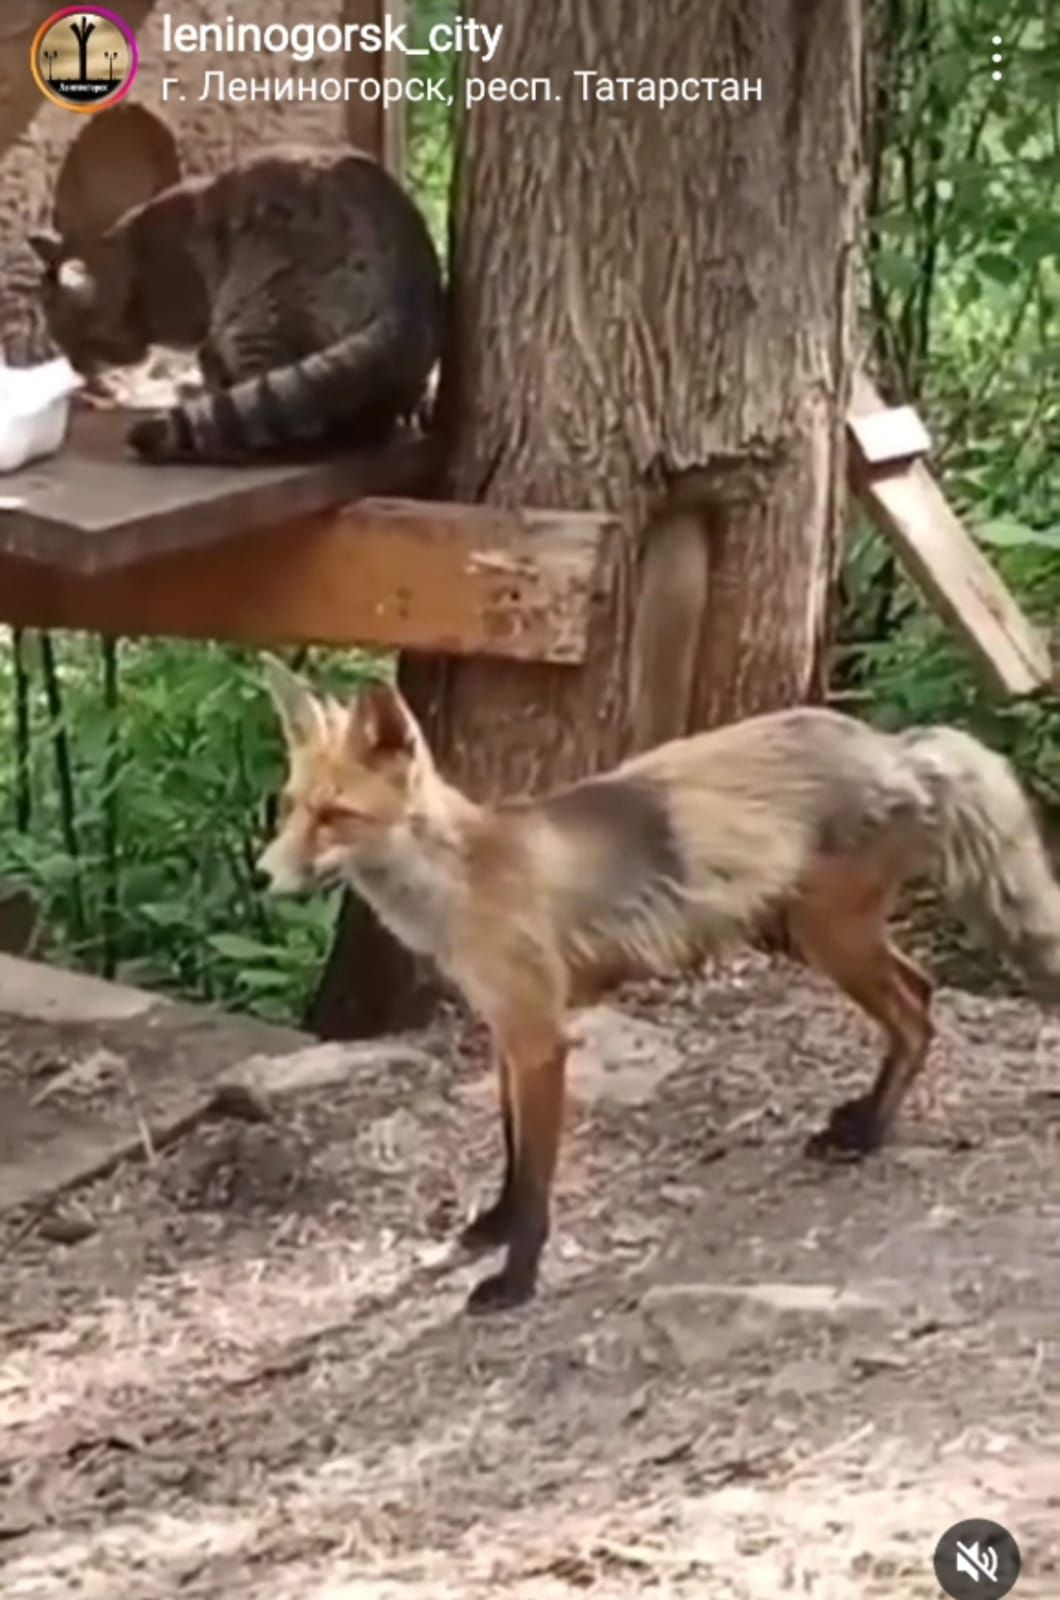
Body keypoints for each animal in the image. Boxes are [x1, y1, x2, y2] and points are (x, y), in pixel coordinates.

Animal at [256, 656, 1060, 1315]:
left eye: (336, 816)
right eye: (291, 805)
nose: (265, 875)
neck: (462, 880)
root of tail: (894, 745)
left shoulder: (540, 1037)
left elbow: (538, 1182)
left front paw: (516, 1279)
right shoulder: (505, 1032)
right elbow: (512, 1157)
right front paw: (492, 1227)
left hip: (829, 937)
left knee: (917, 1010)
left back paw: (867, 1137)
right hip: (831, 935)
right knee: (921, 995)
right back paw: (862, 1120)